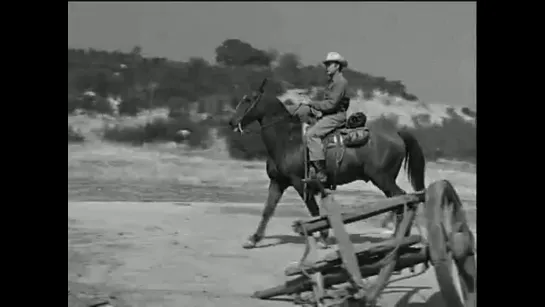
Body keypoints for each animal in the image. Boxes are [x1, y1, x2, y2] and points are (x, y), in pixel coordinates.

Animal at [225, 85, 424, 249]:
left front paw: (323, 237)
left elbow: (313, 210)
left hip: (382, 178)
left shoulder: (300, 183)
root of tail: (396, 133)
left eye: (248, 100)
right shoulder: (277, 182)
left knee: (401, 200)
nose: (232, 122)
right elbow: (268, 210)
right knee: (399, 202)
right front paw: (254, 239)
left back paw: (398, 236)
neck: (287, 140)